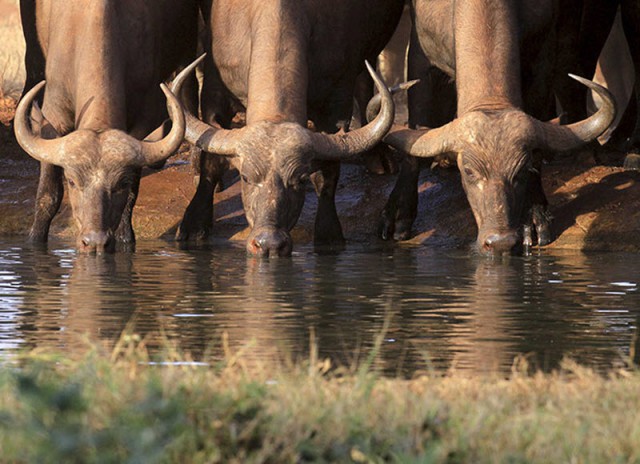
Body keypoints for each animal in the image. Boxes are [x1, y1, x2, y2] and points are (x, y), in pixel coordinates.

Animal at [15, 0, 198, 252]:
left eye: (121, 183)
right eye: (71, 182)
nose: (94, 241)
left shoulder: (142, 121)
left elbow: (131, 196)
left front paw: (124, 238)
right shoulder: (53, 116)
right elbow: (48, 195)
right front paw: (35, 241)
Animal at [175, 0, 404, 258]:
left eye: (300, 180)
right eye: (245, 177)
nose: (268, 243)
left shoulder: (336, 104)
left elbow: (328, 173)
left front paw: (328, 234)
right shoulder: (215, 93)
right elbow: (211, 162)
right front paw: (193, 226)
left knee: (365, 83)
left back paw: (379, 157)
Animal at [376, 0, 616, 254]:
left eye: (521, 171)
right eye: (468, 172)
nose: (500, 240)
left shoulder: (543, 57)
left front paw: (533, 216)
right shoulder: (421, 56)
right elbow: (416, 133)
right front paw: (397, 215)